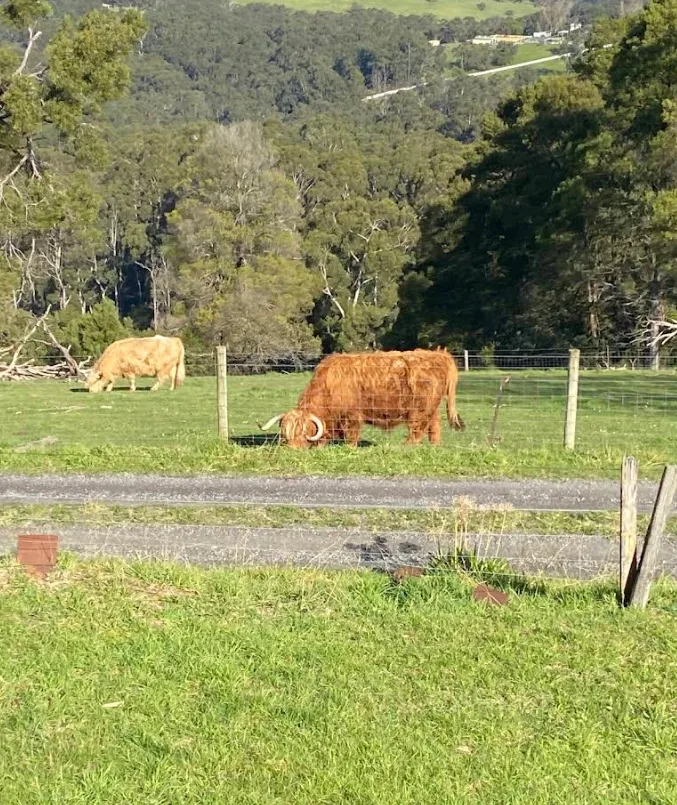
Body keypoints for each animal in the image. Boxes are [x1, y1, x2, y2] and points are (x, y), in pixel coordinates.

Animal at [260, 348, 464, 448]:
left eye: (303, 432)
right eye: (285, 435)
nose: (292, 450)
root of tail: (439, 355)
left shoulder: (350, 416)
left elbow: (351, 436)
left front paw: (349, 449)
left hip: (419, 409)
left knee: (417, 429)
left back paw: (406, 446)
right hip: (432, 408)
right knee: (434, 426)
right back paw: (434, 446)